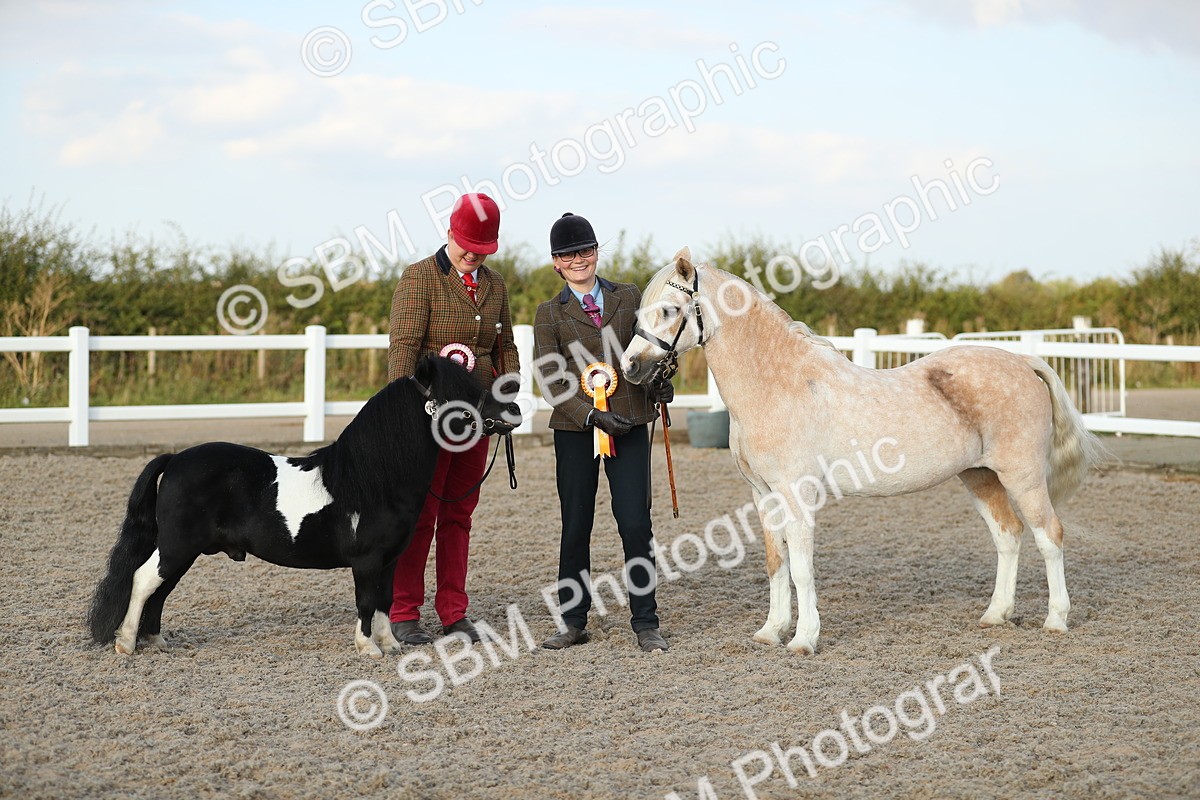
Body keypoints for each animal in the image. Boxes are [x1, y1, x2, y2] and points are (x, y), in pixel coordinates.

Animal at [87, 355, 519, 658]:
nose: (513, 411)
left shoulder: (390, 559)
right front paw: (368, 649)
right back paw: (126, 644)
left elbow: (384, 600)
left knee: (160, 590)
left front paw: (390, 646)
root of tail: (175, 459)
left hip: (184, 550)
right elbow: (366, 601)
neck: (374, 477)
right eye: (458, 392)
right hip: (177, 545)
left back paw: (156, 641)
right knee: (144, 580)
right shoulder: (366, 560)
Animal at [621, 248, 1102, 654]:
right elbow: (777, 563)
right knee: (1008, 535)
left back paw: (1056, 620)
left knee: (1049, 535)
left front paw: (804, 640)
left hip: (1023, 477)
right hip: (980, 476)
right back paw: (995, 615)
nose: (630, 367)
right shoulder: (763, 496)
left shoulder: (796, 495)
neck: (779, 384)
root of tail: (1024, 363)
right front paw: (770, 632)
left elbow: (801, 568)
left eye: (670, 310)